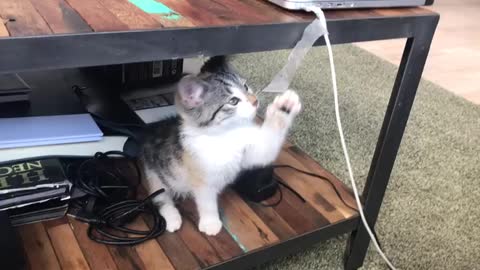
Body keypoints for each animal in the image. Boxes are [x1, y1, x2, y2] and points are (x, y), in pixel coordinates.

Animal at [139, 57, 302, 236]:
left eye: (245, 86)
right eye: (233, 101)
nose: (255, 101)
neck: (225, 134)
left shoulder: (249, 150)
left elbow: (264, 150)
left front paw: (285, 107)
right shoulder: (202, 178)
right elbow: (206, 202)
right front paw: (210, 223)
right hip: (154, 175)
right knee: (160, 197)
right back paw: (173, 219)